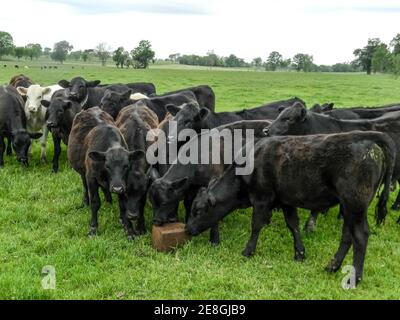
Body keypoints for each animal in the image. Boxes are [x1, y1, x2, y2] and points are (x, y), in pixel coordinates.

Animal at [65, 108, 141, 240]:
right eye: (107, 166)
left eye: (126, 166)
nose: (116, 188)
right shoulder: (91, 177)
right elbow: (95, 202)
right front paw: (93, 228)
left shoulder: (123, 183)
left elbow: (123, 204)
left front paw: (128, 228)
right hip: (83, 173)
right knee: (85, 187)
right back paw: (85, 202)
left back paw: (109, 200)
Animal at [186, 131, 396, 286]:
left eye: (198, 210)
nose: (187, 228)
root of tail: (367, 140)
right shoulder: (285, 201)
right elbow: (293, 225)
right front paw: (300, 253)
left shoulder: (262, 198)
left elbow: (256, 225)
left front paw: (248, 251)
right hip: (348, 208)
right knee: (347, 235)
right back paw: (333, 266)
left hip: (355, 205)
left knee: (360, 235)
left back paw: (355, 277)